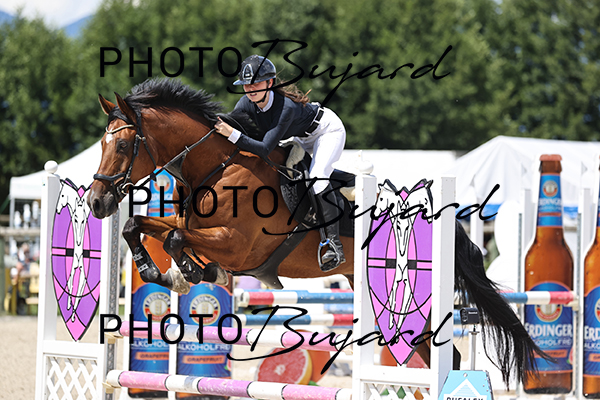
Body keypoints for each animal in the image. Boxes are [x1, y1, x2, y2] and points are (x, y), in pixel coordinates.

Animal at [87, 78, 550, 388]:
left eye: (124, 146)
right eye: (101, 144)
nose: (96, 203)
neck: (217, 168)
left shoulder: (238, 247)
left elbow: (177, 240)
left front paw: (191, 272)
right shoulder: (194, 227)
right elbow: (140, 226)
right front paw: (164, 272)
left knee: (444, 353)